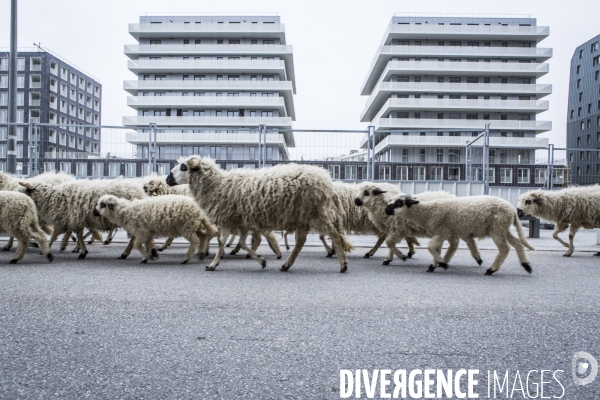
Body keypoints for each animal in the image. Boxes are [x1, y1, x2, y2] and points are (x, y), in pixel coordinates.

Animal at [166, 156, 354, 272]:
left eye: (183, 167)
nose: (167, 179)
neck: (218, 185)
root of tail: (329, 183)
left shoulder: (229, 219)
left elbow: (222, 243)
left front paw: (213, 264)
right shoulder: (242, 220)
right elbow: (244, 242)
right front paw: (260, 259)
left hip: (317, 214)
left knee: (334, 236)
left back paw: (343, 265)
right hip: (304, 218)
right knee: (300, 242)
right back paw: (286, 265)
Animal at [384, 194, 536, 276]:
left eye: (399, 202)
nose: (386, 210)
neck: (427, 212)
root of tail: (512, 209)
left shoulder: (443, 231)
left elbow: (431, 247)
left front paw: (441, 264)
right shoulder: (441, 232)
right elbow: (435, 249)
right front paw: (435, 265)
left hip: (498, 227)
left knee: (505, 248)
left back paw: (491, 270)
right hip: (503, 228)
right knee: (517, 244)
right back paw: (526, 265)